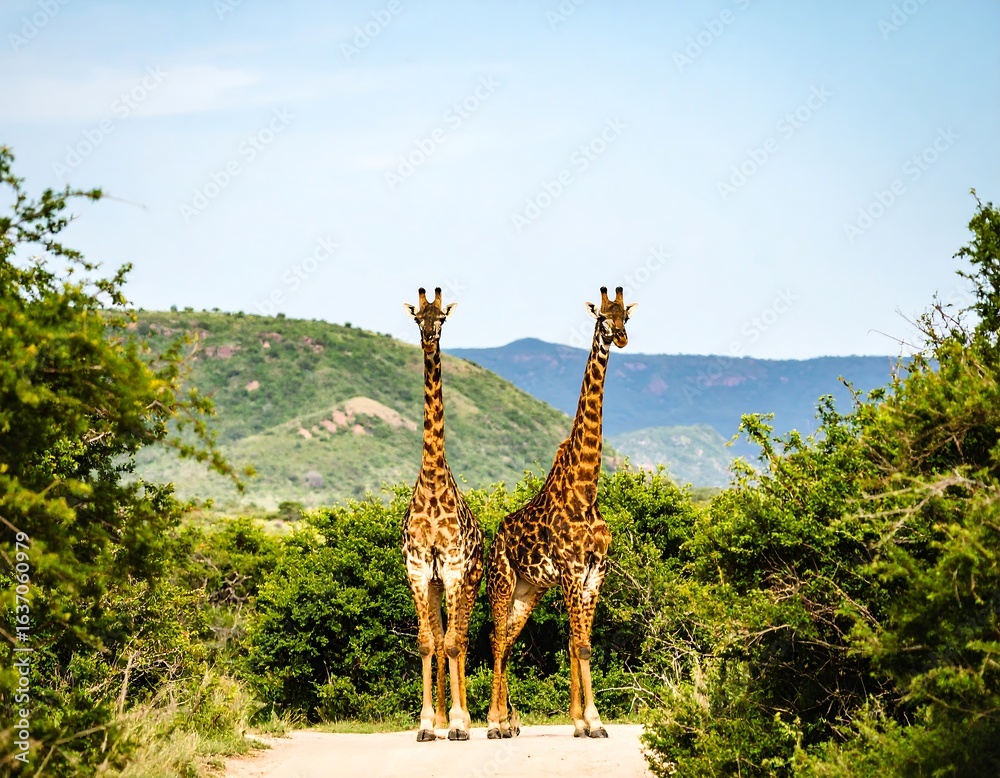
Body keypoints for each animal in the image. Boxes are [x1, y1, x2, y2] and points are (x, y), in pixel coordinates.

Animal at [486, 286, 636, 740]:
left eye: (627, 316)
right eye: (602, 317)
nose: (621, 338)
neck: (586, 490)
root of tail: (495, 535)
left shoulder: (595, 571)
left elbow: (581, 642)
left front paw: (589, 721)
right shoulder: (571, 568)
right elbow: (577, 643)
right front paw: (588, 722)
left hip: (528, 591)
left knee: (509, 640)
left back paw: (507, 721)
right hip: (502, 582)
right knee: (497, 640)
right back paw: (494, 723)